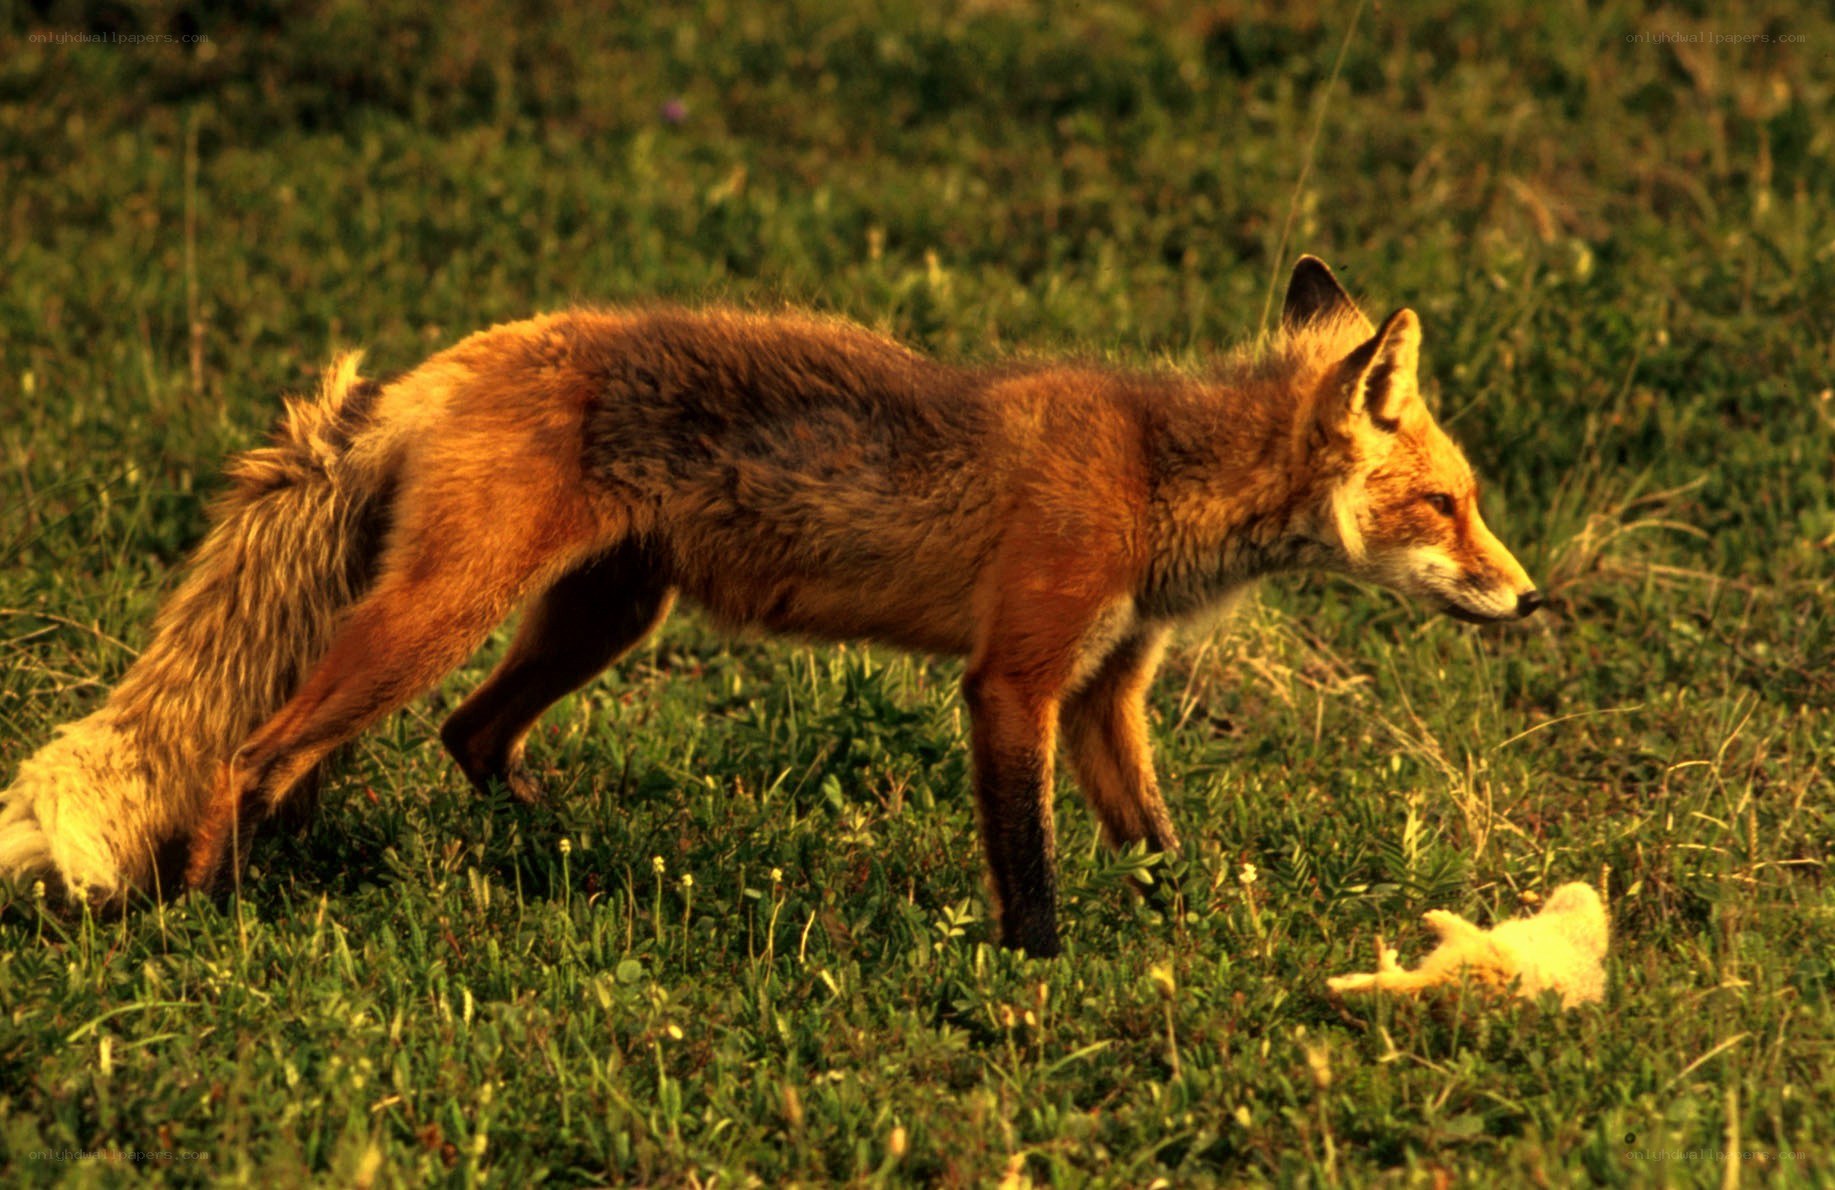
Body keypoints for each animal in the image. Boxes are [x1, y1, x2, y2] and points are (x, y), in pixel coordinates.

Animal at [0, 257, 1539, 956]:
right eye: (1446, 505)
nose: (1530, 600)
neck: (1156, 475)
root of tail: (431, 371)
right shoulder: (1014, 680)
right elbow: (1029, 865)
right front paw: (1042, 977)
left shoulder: (1105, 694)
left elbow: (1156, 843)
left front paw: (1196, 936)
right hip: (442, 615)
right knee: (253, 752)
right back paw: (212, 908)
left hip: (598, 617)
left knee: (456, 741)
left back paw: (541, 850)